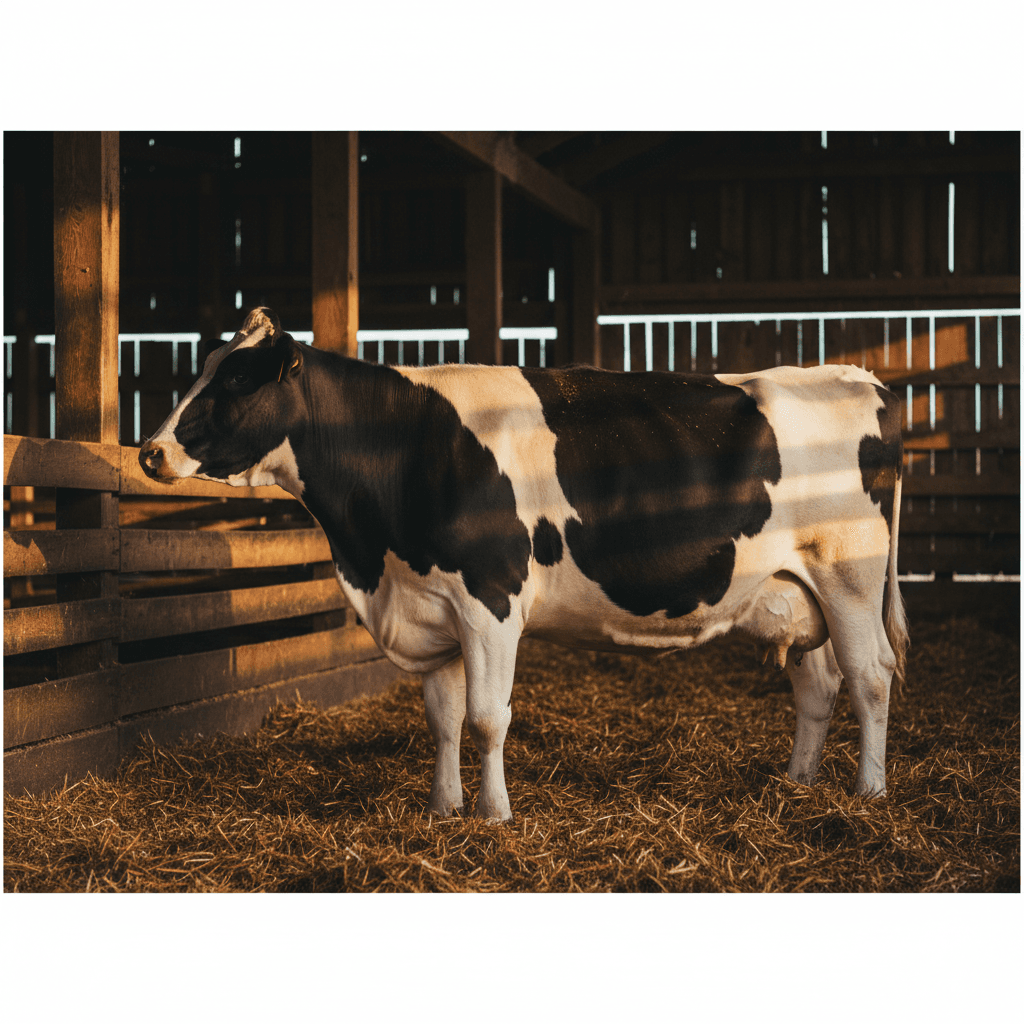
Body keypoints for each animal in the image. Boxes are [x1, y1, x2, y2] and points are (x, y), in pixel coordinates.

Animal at [140, 307, 908, 821]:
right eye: (204, 369)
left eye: (238, 380)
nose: (150, 452)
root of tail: (857, 377)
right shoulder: (434, 605)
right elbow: (443, 718)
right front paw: (444, 809)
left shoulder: (491, 599)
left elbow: (487, 717)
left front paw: (495, 816)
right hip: (797, 590)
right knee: (819, 685)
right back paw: (798, 782)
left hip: (850, 576)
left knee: (871, 678)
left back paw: (870, 792)